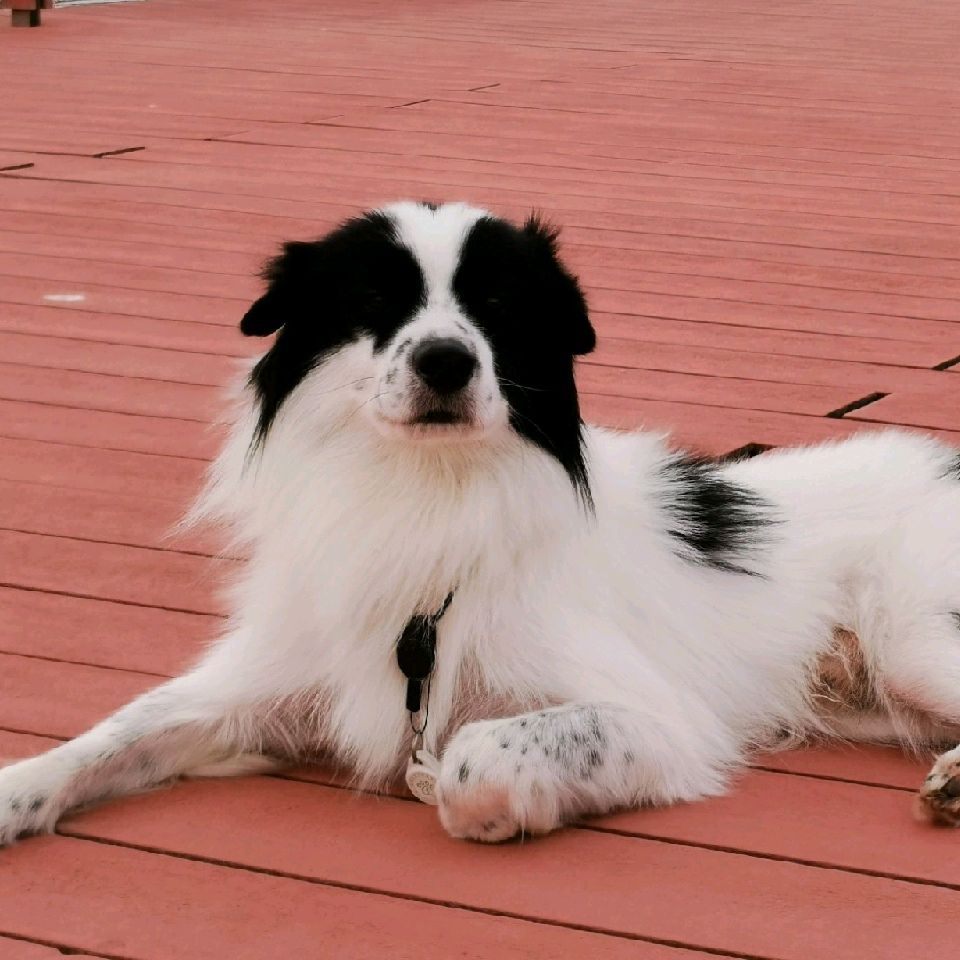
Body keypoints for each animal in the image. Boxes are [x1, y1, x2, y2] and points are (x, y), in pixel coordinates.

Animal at [2, 200, 960, 845]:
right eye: (372, 300)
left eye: (498, 307)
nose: (445, 361)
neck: (425, 490)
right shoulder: (259, 684)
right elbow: (120, 730)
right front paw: (20, 792)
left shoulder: (661, 719)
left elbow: (475, 751)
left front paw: (488, 808)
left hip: (912, 640)